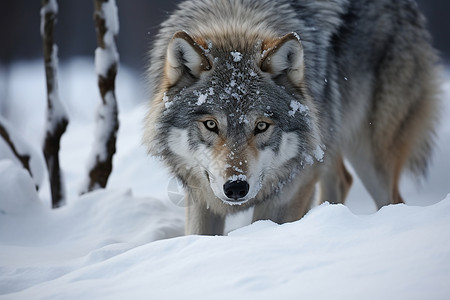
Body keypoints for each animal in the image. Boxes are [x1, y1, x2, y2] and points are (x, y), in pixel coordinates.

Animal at [143, 0, 440, 234]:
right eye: (211, 124)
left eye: (261, 126)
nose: (236, 188)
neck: (236, 19)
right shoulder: (201, 196)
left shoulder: (291, 188)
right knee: (342, 180)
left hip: (369, 156)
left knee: (392, 198)